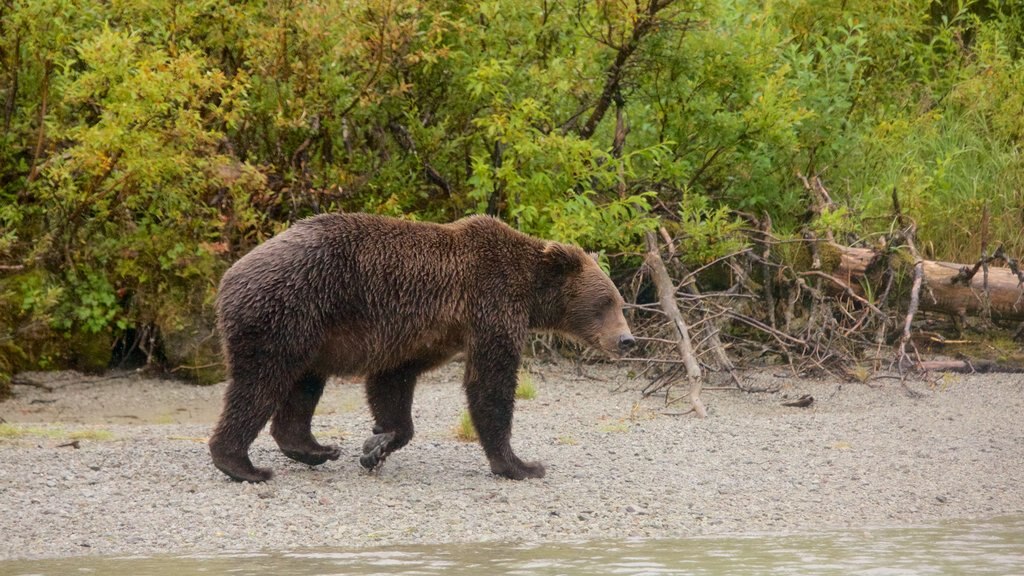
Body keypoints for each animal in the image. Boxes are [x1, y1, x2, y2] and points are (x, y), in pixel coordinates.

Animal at [207, 211, 630, 479]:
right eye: (604, 303)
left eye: (620, 302)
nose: (627, 339)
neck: (530, 291)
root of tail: (228, 278)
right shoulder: (491, 306)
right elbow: (490, 384)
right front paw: (522, 465)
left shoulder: (425, 333)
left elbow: (393, 382)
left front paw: (377, 445)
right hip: (287, 309)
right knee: (260, 384)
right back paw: (243, 466)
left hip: (312, 331)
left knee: (304, 384)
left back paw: (316, 449)